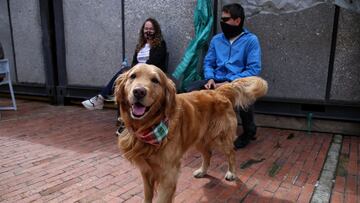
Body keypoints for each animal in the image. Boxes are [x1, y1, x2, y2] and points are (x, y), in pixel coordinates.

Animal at [115, 63, 268, 203]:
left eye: (155, 80)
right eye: (133, 76)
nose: (139, 92)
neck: (148, 127)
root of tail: (218, 91)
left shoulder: (168, 174)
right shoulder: (146, 171)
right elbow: (147, 197)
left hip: (221, 138)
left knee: (231, 153)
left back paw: (231, 173)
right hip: (198, 137)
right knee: (208, 153)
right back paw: (202, 171)